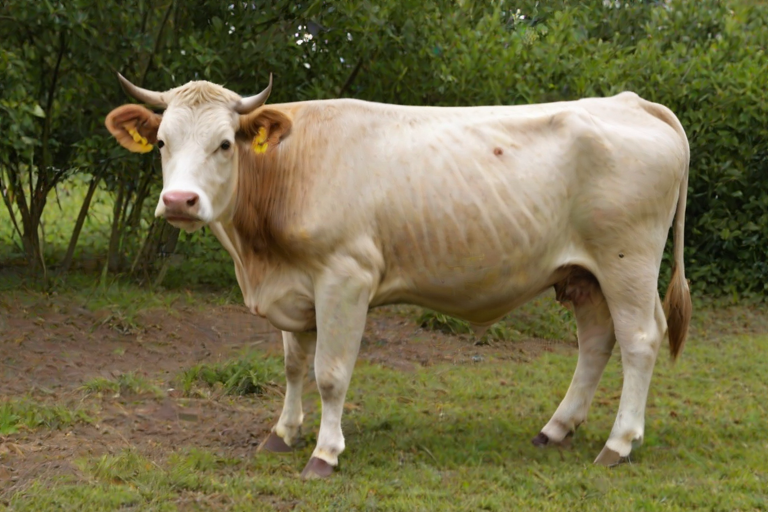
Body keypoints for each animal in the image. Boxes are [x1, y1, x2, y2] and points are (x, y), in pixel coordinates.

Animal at [105, 73, 691, 479]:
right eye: (162, 142)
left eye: (225, 143)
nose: (179, 201)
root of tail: (629, 101)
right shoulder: (295, 288)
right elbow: (293, 366)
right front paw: (283, 432)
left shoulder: (345, 277)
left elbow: (329, 372)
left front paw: (324, 453)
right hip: (585, 274)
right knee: (596, 342)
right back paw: (556, 429)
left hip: (627, 262)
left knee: (640, 340)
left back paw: (618, 443)